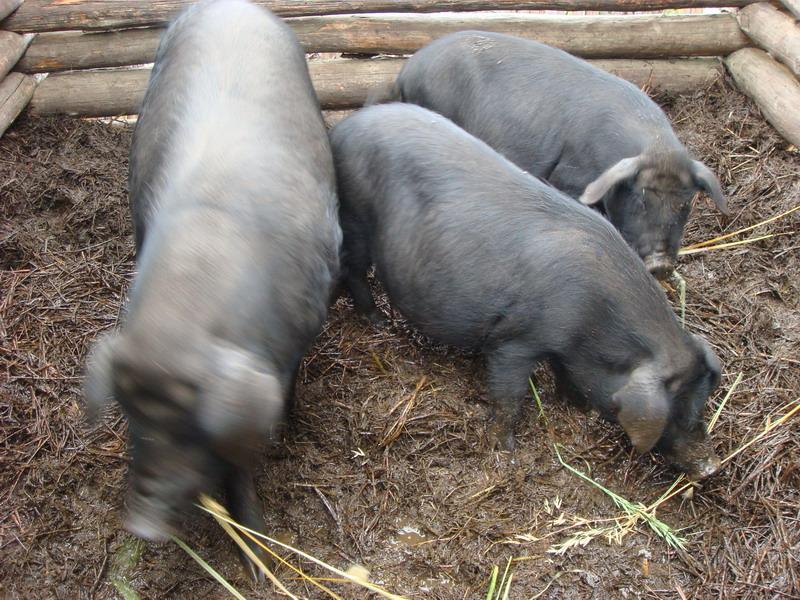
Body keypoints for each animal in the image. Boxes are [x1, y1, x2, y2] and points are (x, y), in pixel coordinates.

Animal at [328, 103, 720, 478]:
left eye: (701, 405)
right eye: (676, 412)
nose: (711, 466)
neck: (593, 320)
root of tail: (342, 129)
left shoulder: (566, 349)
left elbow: (567, 376)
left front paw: (577, 408)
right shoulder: (515, 341)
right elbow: (509, 396)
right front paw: (507, 451)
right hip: (356, 218)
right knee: (353, 270)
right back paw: (379, 321)